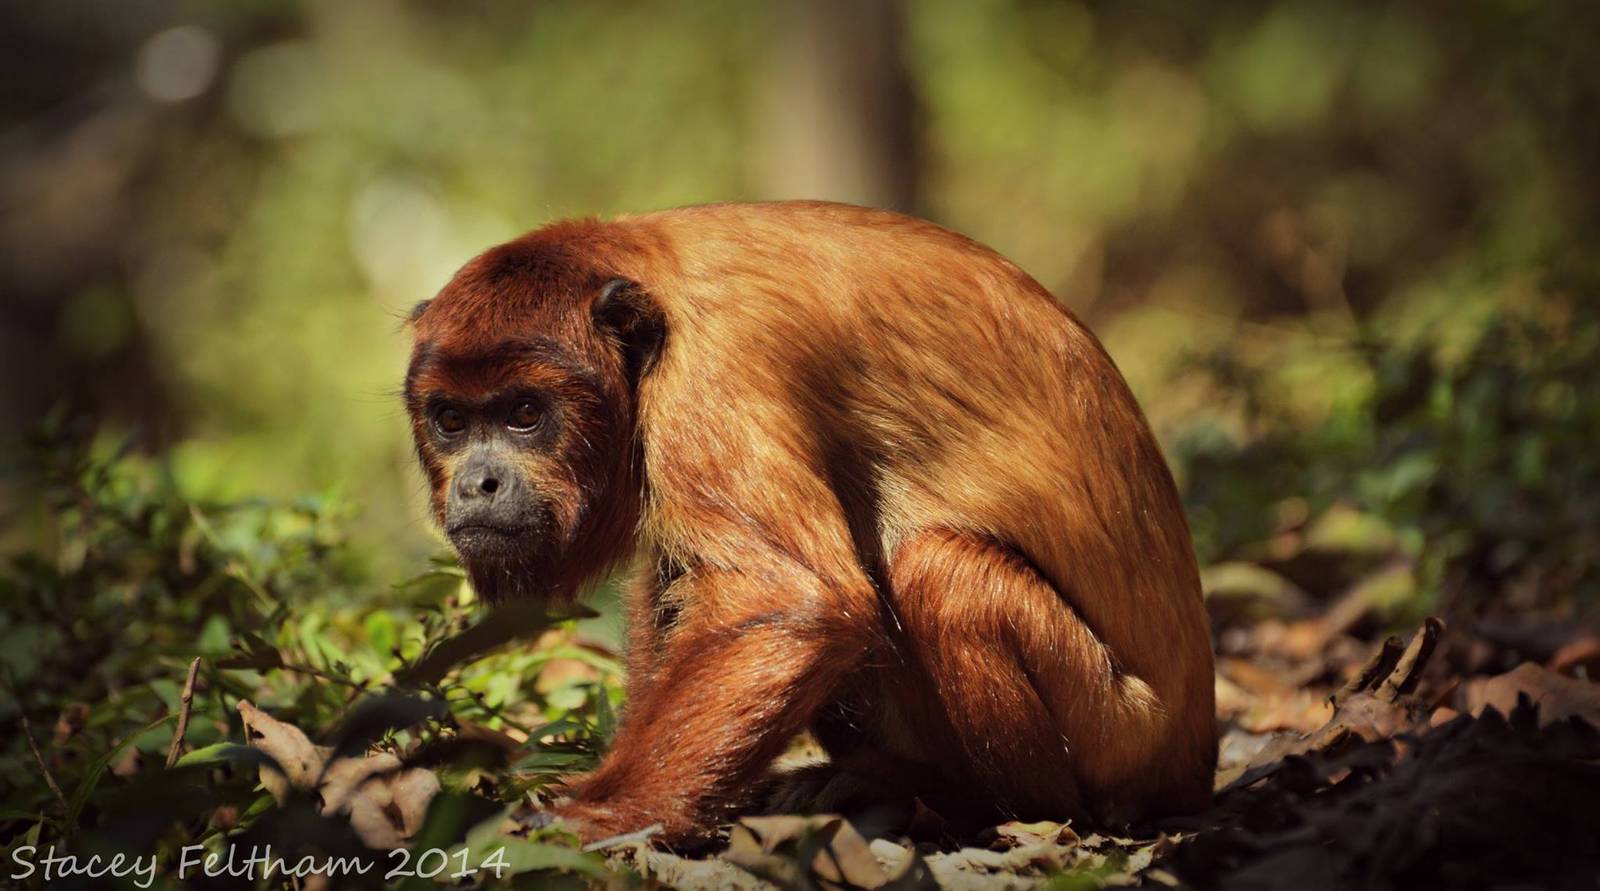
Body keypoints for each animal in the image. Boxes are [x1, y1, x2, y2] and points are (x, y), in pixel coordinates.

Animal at [403, 201, 1216, 844]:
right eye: (451, 421)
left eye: (525, 414)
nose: (477, 483)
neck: (646, 282)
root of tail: (1193, 757)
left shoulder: (714, 370)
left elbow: (791, 598)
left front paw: (597, 814)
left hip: (1117, 729)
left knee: (939, 571)